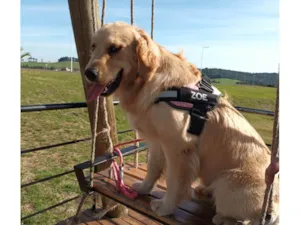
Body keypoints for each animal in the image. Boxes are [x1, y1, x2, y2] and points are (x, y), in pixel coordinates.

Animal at [84, 21, 278, 225]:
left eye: (114, 49)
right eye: (93, 47)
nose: (88, 73)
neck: (151, 83)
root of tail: (273, 205)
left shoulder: (179, 147)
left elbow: (174, 182)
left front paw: (166, 206)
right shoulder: (157, 142)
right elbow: (153, 169)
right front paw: (144, 188)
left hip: (229, 182)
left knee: (251, 219)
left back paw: (223, 218)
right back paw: (206, 190)